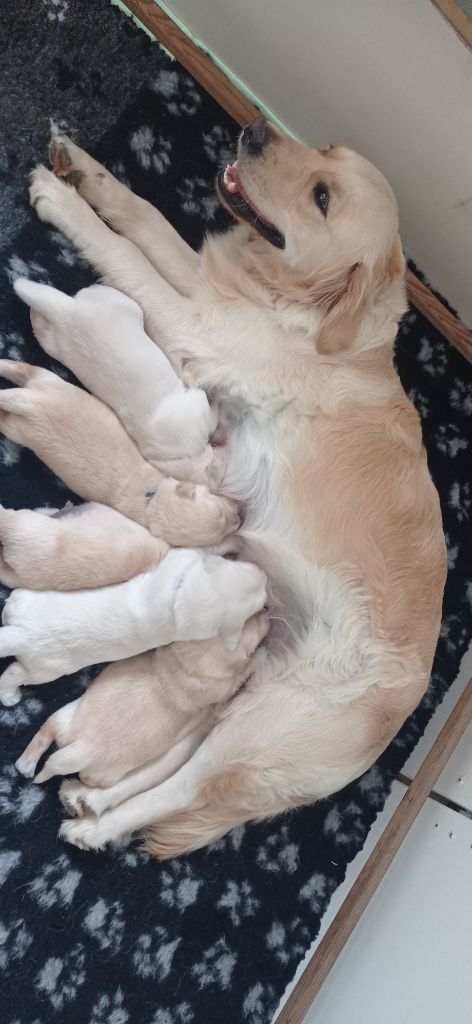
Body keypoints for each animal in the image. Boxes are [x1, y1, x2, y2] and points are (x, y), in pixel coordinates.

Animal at [3, 121, 444, 856]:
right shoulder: (207, 289)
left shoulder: (196, 325)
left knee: (183, 792)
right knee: (177, 762)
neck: (310, 317)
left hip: (267, 726)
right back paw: (92, 798)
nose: (257, 130)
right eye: (326, 150)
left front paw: (58, 203)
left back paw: (94, 829)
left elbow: (123, 251)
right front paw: (83, 172)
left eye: (322, 197)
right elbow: (145, 218)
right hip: (240, 685)